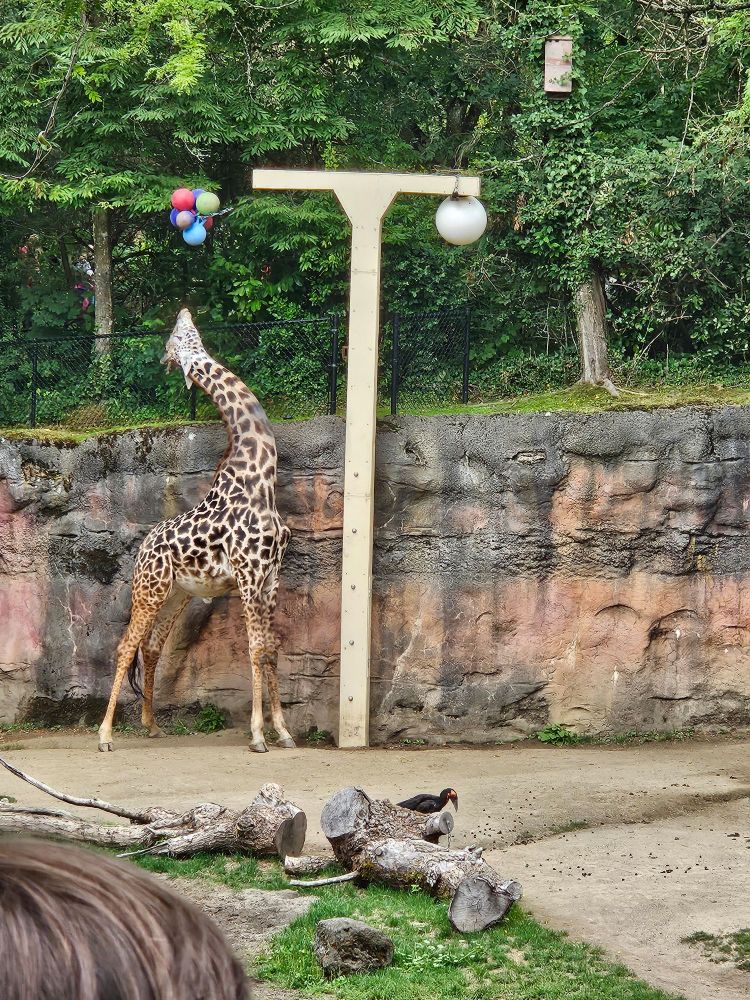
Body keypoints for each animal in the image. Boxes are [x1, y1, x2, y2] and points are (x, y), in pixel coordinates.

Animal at [97, 307, 294, 754]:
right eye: (177, 337)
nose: (185, 311)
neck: (261, 476)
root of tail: (142, 548)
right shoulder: (249, 575)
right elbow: (255, 649)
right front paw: (258, 735)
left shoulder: (271, 576)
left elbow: (271, 649)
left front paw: (284, 731)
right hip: (149, 589)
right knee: (125, 646)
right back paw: (105, 736)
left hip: (177, 594)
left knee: (151, 646)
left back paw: (152, 725)